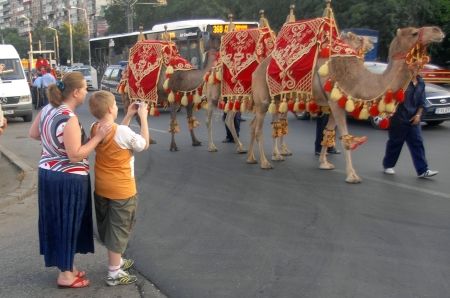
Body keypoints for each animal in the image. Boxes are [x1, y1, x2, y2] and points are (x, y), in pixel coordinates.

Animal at [246, 15, 442, 182]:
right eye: (414, 32)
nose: (438, 30)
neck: (360, 78)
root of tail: (257, 69)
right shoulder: (336, 103)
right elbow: (346, 138)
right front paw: (352, 175)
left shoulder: (335, 105)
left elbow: (328, 132)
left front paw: (324, 163)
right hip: (263, 98)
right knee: (259, 128)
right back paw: (264, 162)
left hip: (278, 99)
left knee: (260, 124)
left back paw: (255, 157)